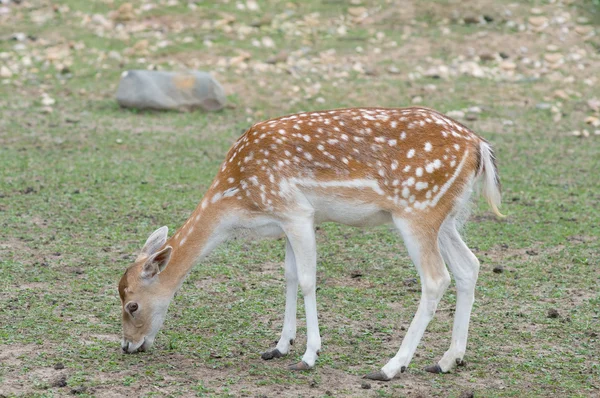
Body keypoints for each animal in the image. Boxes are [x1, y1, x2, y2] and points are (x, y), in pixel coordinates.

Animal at [117, 105, 502, 380]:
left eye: (132, 304)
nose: (127, 345)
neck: (237, 200)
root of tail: (479, 146)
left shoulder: (296, 211)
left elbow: (306, 280)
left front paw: (308, 356)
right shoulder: (291, 221)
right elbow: (288, 277)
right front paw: (279, 347)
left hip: (417, 211)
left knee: (436, 279)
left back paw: (390, 367)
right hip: (446, 216)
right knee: (469, 266)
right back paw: (448, 360)